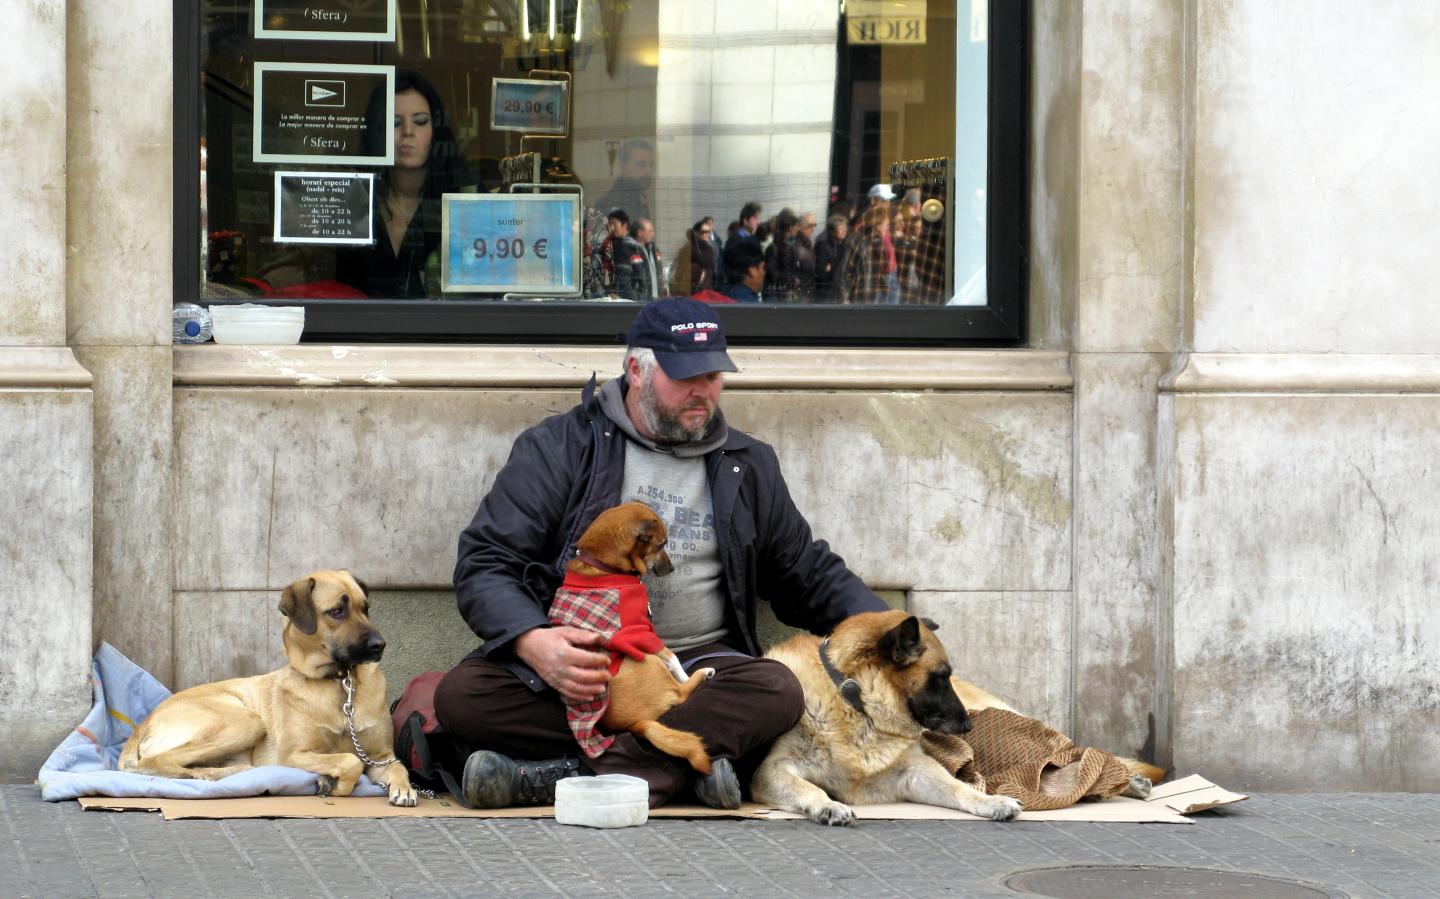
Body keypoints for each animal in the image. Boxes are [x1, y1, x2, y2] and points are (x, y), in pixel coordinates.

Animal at [118, 573, 417, 812]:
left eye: (365, 608)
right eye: (337, 611)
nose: (380, 645)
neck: (340, 683)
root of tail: (145, 722)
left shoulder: (380, 757)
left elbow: (397, 766)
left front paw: (405, 789)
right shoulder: (293, 755)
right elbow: (349, 760)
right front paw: (335, 784)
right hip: (245, 721)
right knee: (159, 759)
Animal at [754, 610, 1025, 829]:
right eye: (941, 676)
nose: (968, 726)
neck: (854, 705)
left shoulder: (915, 771)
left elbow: (957, 787)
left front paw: (991, 801)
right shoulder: (770, 771)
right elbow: (808, 787)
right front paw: (828, 805)